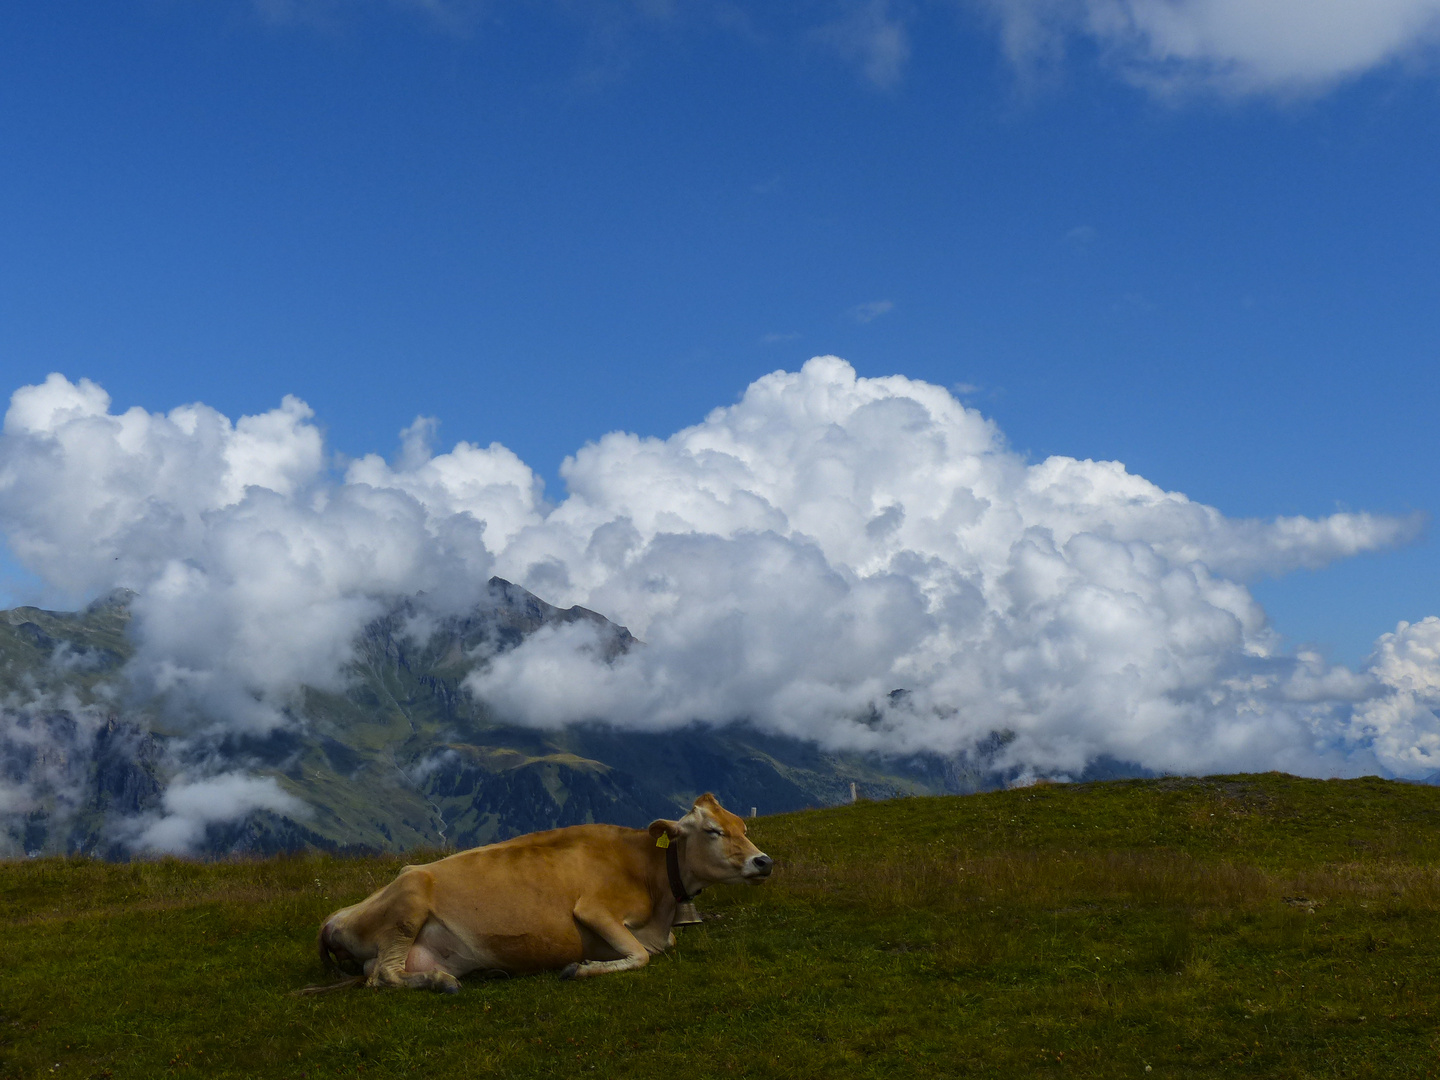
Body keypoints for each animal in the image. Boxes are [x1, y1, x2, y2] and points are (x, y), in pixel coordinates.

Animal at [308, 789, 771, 996]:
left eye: (743, 826)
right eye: (712, 831)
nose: (763, 861)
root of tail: (334, 916)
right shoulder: (594, 909)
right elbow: (640, 955)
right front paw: (579, 968)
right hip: (410, 897)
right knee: (383, 975)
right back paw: (442, 982)